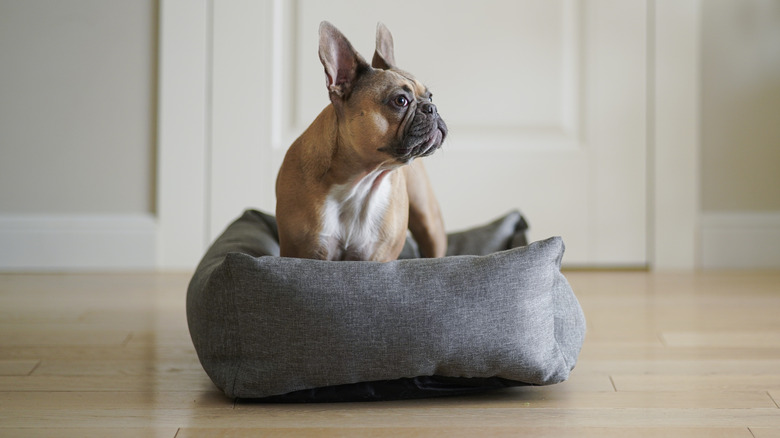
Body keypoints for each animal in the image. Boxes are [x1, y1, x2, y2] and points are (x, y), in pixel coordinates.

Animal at [274, 22, 444, 262]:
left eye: (430, 96)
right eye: (400, 101)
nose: (432, 108)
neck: (360, 181)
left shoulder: (378, 257)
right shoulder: (304, 252)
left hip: (429, 220)